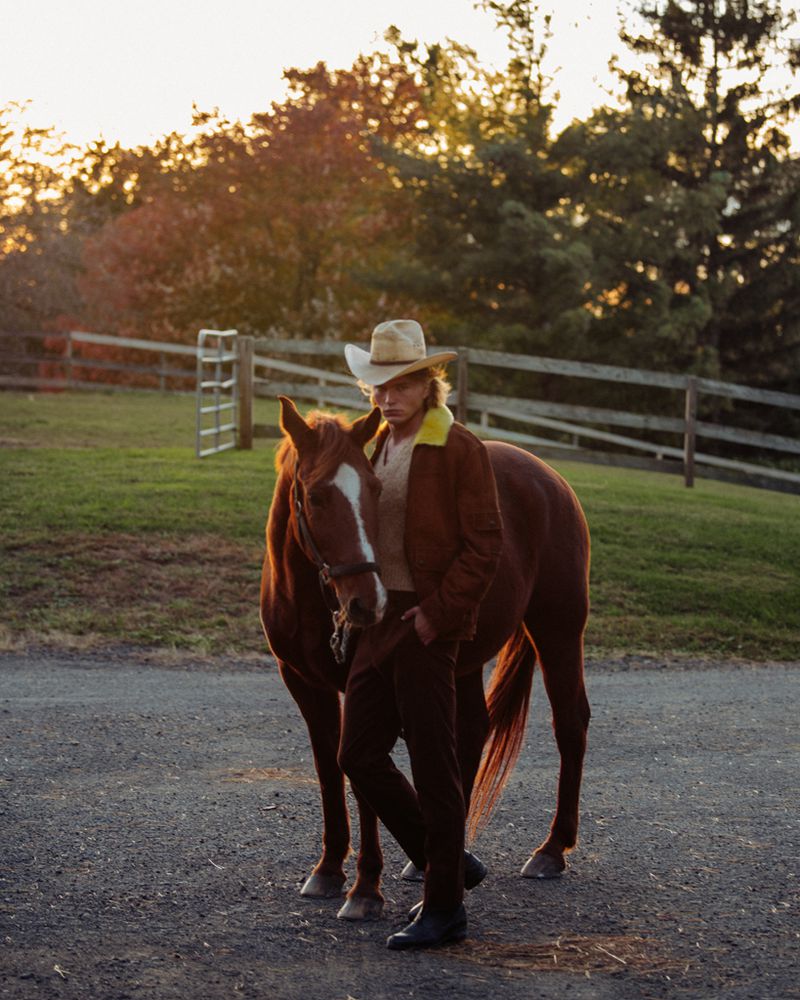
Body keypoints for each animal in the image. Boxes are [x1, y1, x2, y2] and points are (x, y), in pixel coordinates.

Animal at [260, 394, 592, 916]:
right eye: (315, 497)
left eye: (377, 490)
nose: (368, 602)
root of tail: (549, 477)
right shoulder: (303, 683)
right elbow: (329, 767)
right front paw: (330, 868)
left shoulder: (364, 685)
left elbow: (361, 778)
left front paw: (365, 888)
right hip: (464, 658)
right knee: (472, 729)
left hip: (558, 631)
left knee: (570, 724)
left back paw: (552, 849)